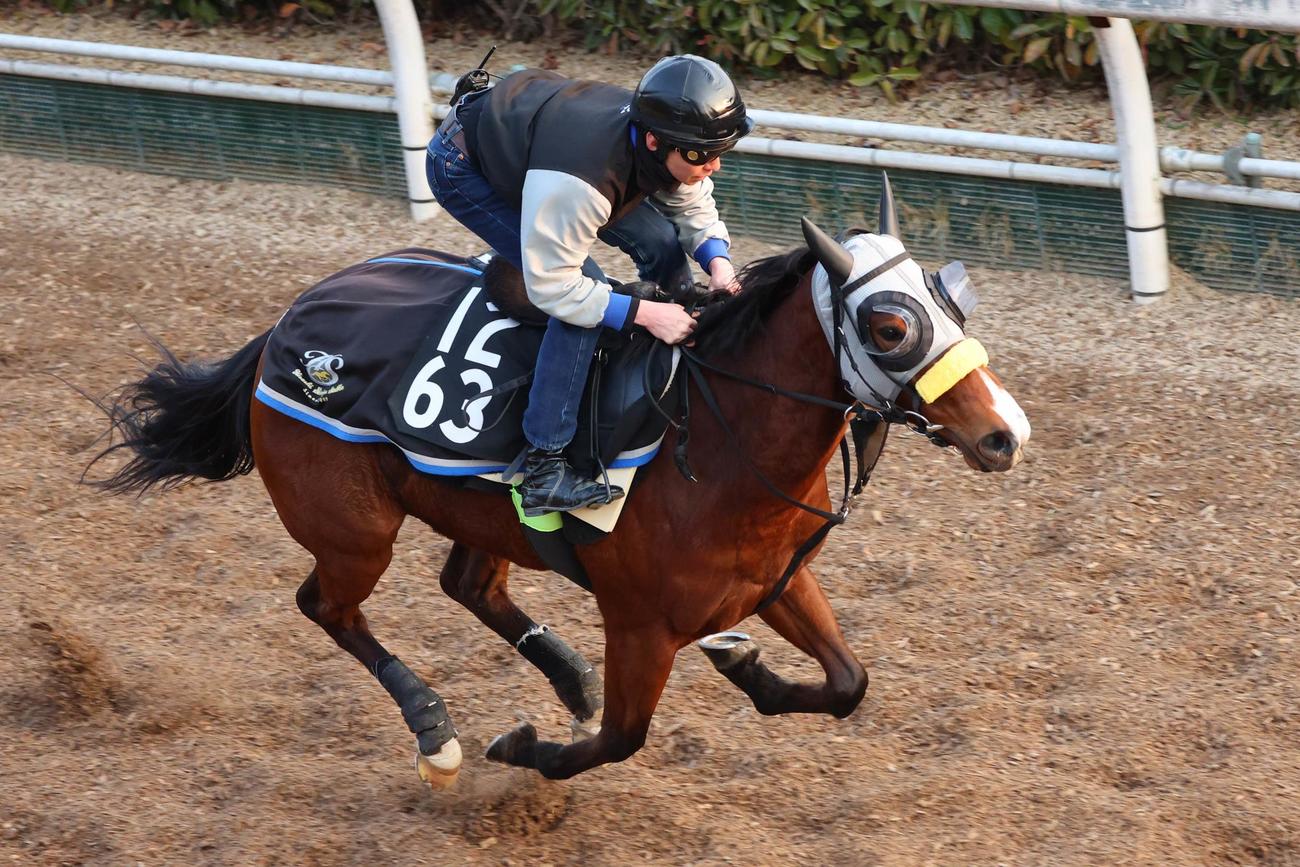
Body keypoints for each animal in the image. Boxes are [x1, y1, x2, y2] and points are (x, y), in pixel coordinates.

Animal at [92, 181, 1030, 785]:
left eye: (950, 295)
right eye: (890, 325)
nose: (1005, 432)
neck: (708, 442)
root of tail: (288, 324)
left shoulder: (778, 580)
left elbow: (847, 683)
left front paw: (744, 664)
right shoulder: (642, 625)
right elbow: (620, 738)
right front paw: (524, 748)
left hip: (473, 514)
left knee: (466, 583)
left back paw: (568, 676)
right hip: (354, 529)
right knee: (328, 606)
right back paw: (436, 730)